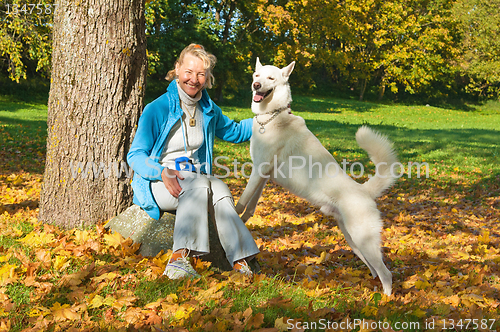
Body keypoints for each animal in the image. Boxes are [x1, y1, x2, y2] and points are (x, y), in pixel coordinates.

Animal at [236, 57, 400, 296]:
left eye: (271, 78)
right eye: (257, 76)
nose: (256, 86)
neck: (272, 117)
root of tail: (363, 190)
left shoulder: (258, 170)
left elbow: (241, 201)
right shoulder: (263, 175)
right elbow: (250, 206)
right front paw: (243, 221)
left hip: (364, 240)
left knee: (386, 274)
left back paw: (385, 301)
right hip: (354, 241)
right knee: (375, 269)